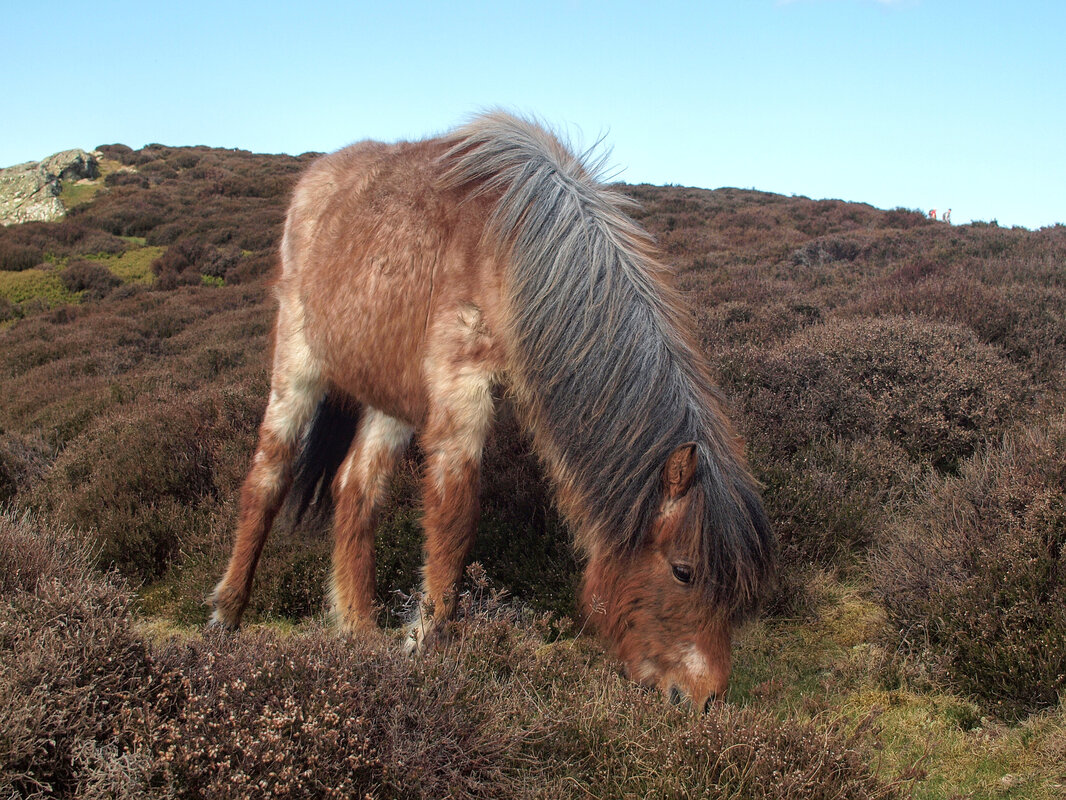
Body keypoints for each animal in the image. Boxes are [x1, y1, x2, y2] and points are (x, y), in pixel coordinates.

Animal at [209, 112, 774, 707]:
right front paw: (427, 645)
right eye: (684, 571)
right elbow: (455, 519)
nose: (704, 699)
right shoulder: (462, 391)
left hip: (393, 398)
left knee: (355, 491)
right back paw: (227, 616)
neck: (515, 249)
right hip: (298, 363)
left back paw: (359, 633)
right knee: (266, 480)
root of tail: (315, 180)